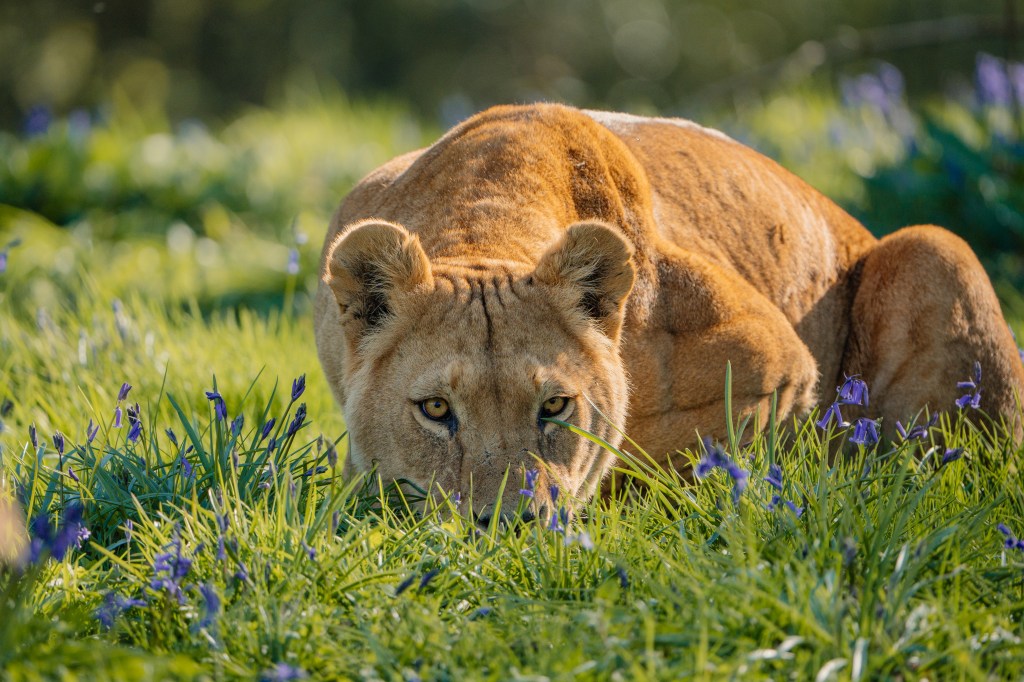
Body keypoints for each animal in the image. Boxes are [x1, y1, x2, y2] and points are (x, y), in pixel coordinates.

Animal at [315, 103, 1024, 522]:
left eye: (555, 406)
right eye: (436, 409)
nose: (510, 527)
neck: (482, 225)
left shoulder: (774, 364)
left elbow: (653, 460)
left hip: (935, 247)